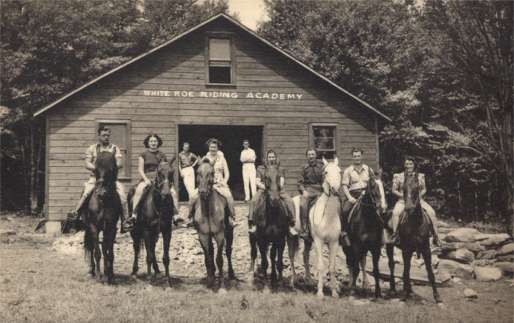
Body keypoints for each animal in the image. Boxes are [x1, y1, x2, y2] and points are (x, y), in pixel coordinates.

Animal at [83, 151, 121, 284]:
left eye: (112, 169)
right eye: (95, 169)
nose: (101, 192)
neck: (103, 202)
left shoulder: (110, 227)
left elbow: (107, 251)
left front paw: (107, 275)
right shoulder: (93, 227)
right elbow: (98, 252)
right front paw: (99, 276)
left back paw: (111, 273)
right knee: (91, 248)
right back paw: (91, 272)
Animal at [194, 162, 234, 292]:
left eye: (211, 173)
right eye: (198, 172)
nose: (202, 192)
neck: (208, 212)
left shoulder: (219, 235)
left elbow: (219, 259)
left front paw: (221, 286)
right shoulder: (203, 236)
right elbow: (208, 258)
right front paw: (210, 281)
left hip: (229, 232)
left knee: (228, 251)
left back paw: (231, 274)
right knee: (211, 252)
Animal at [288, 158, 340, 298]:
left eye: (339, 171)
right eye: (326, 172)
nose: (335, 189)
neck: (328, 216)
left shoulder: (334, 242)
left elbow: (332, 267)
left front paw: (334, 292)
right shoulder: (318, 241)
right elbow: (321, 266)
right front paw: (320, 293)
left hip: (307, 240)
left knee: (305, 256)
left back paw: (309, 280)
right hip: (290, 238)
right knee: (291, 256)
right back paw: (293, 281)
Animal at [342, 171, 386, 300]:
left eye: (383, 187)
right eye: (373, 186)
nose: (382, 209)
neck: (368, 219)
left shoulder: (375, 248)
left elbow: (376, 270)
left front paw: (378, 293)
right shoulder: (356, 245)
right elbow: (355, 268)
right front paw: (352, 291)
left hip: (364, 249)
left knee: (363, 263)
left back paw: (364, 287)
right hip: (348, 247)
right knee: (350, 263)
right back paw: (351, 286)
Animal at [392, 173, 440, 306]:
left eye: (417, 188)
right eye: (403, 189)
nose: (409, 208)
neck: (415, 223)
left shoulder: (426, 249)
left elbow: (430, 273)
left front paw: (437, 297)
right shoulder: (406, 250)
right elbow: (406, 272)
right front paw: (404, 296)